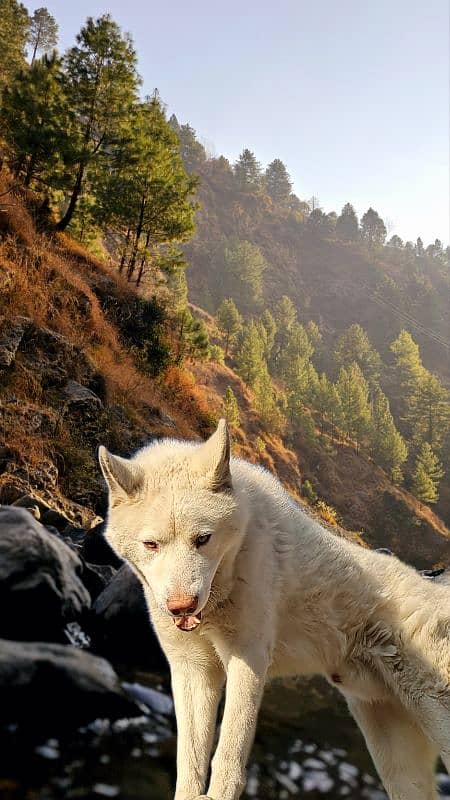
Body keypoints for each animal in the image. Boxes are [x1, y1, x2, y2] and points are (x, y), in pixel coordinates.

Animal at [100, 418, 450, 800]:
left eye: (203, 539)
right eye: (151, 544)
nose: (182, 606)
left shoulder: (248, 658)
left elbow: (227, 760)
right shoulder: (192, 668)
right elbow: (190, 765)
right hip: (395, 761)